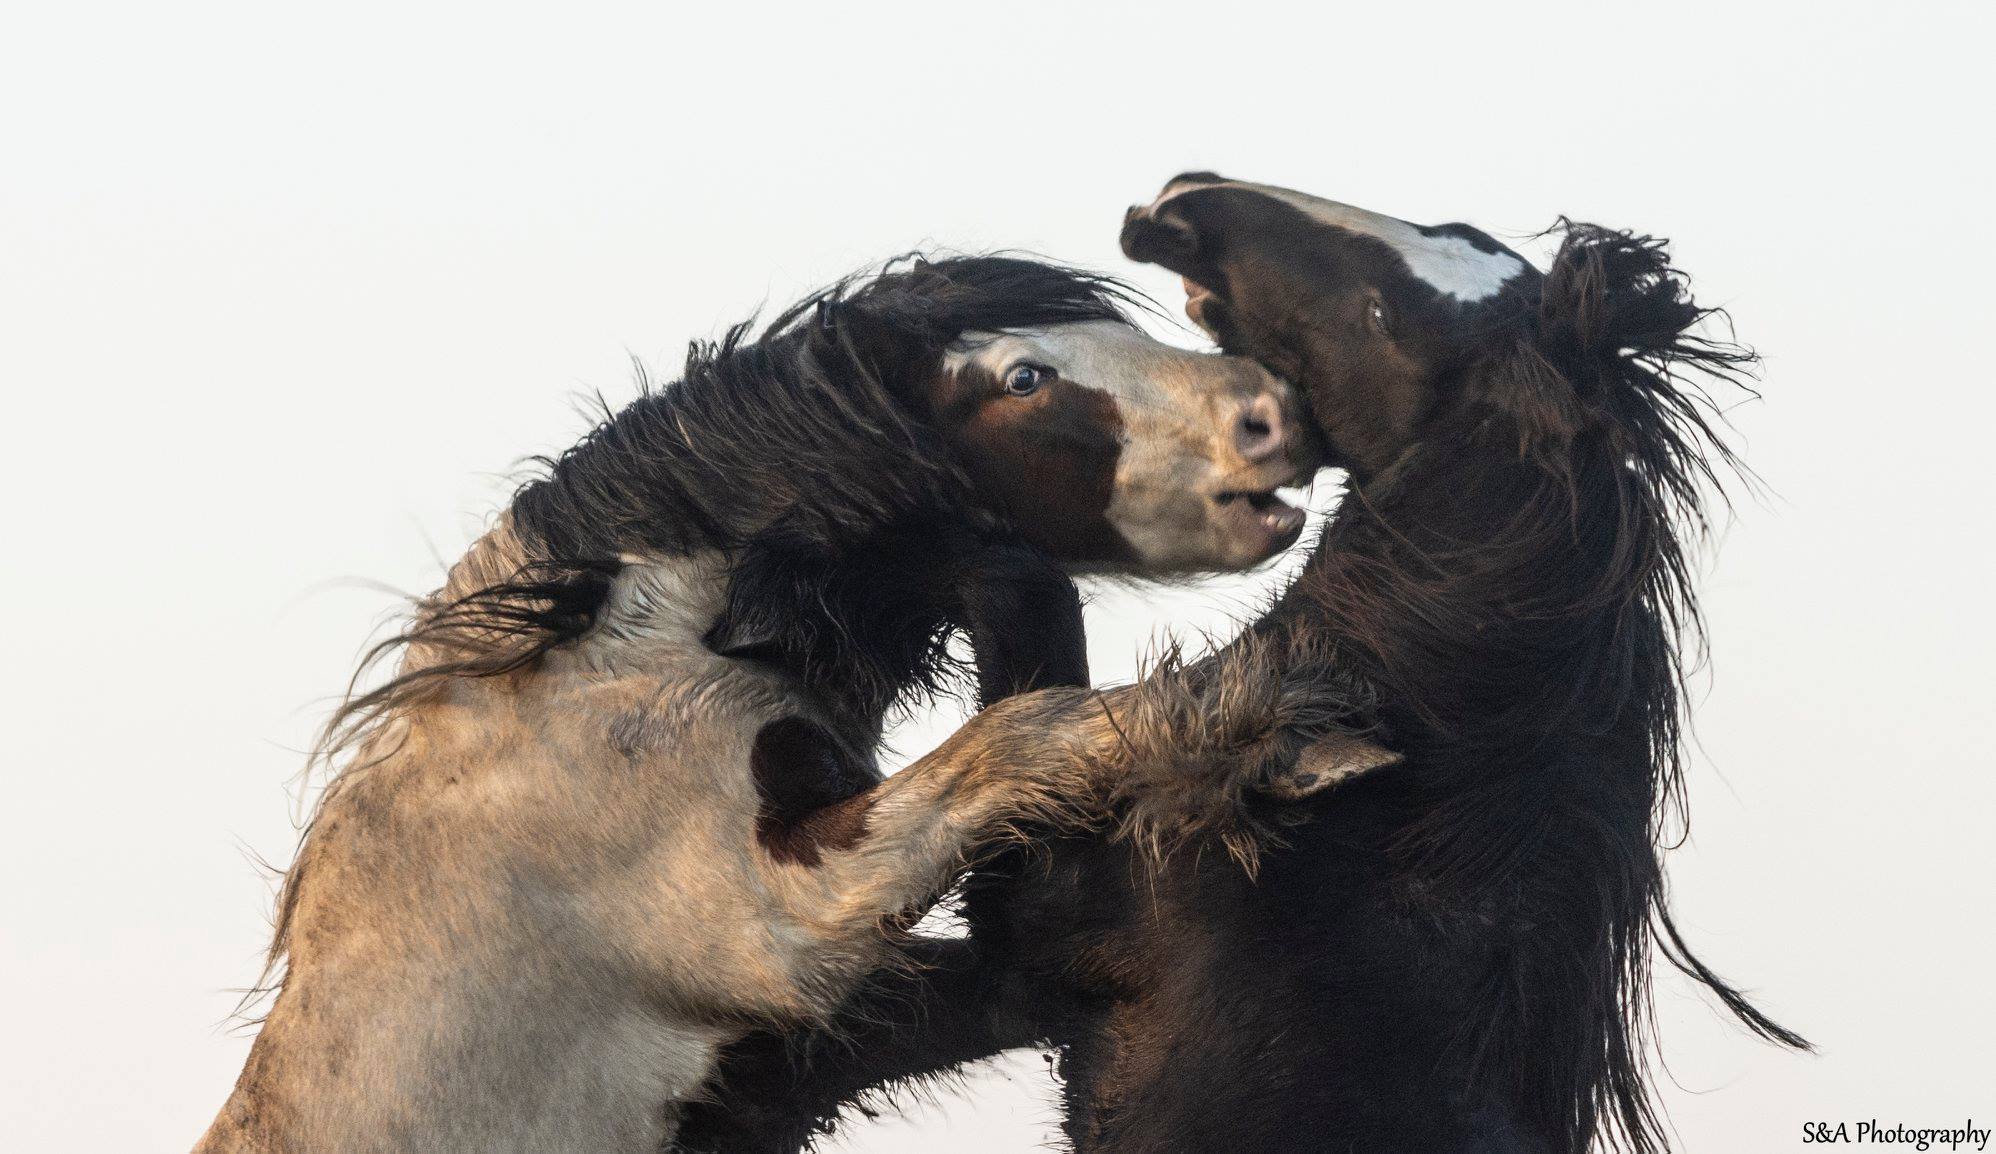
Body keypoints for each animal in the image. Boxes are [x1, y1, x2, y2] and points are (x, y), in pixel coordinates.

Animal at [196, 253, 1396, 1152]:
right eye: (1023, 378)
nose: (1273, 413)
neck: (599, 678)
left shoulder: (855, 1031)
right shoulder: (783, 923)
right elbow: (1005, 736)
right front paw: (1265, 722)